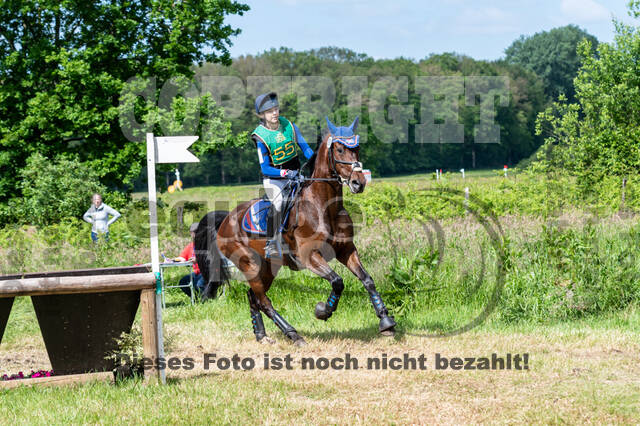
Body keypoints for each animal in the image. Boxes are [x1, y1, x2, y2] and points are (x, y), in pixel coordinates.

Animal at [194, 116, 396, 346]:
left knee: (253, 297)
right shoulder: (309, 255)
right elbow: (337, 281)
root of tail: (226, 219)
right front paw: (323, 311)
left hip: (267, 268)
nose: (358, 183)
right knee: (263, 300)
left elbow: (367, 280)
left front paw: (386, 321)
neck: (324, 206)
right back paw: (293, 334)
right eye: (339, 149)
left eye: (357, 148)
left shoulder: (346, 250)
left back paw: (262, 335)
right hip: (249, 265)